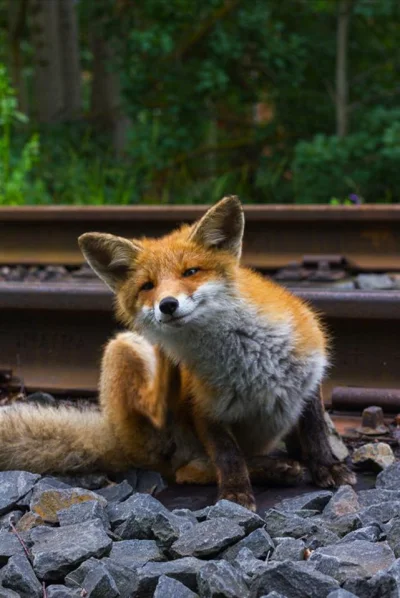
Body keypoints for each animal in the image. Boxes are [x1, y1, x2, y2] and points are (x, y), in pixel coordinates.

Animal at [0, 197, 356, 510]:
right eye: (148, 286)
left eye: (190, 272)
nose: (167, 305)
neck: (247, 359)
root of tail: (118, 437)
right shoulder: (205, 408)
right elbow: (228, 456)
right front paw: (236, 494)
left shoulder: (308, 378)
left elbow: (314, 433)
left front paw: (327, 467)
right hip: (126, 348)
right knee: (189, 470)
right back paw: (273, 469)